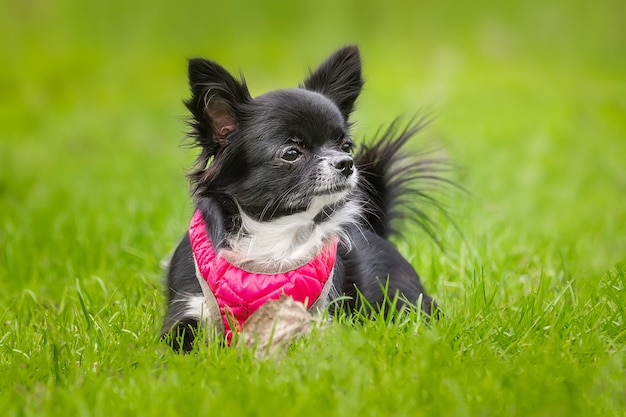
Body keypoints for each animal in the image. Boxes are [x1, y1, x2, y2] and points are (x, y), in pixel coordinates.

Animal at [161, 45, 444, 352]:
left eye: (346, 146)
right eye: (291, 153)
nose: (346, 163)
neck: (273, 236)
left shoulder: (315, 317)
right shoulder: (188, 309)